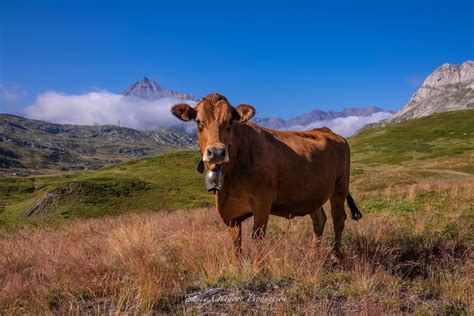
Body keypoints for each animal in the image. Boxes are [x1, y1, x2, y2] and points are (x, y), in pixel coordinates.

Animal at [172, 93, 362, 254]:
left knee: (338, 219)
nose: (217, 152)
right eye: (198, 122)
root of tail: (328, 131)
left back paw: (336, 255)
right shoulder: (230, 211)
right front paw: (236, 269)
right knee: (319, 220)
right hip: (312, 193)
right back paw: (314, 255)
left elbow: (258, 237)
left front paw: (258, 270)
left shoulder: (263, 201)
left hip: (340, 186)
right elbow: (236, 242)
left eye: (230, 122)